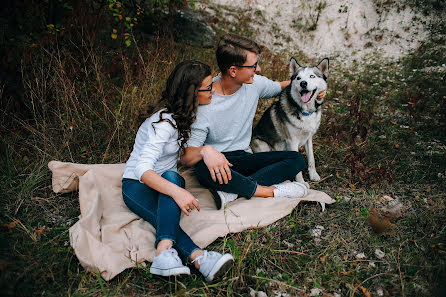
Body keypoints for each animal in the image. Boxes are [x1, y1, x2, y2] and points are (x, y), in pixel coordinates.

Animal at [251, 57, 328, 187]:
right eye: (298, 78)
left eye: (312, 76)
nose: (303, 83)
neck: (305, 111)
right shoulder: (292, 141)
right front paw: (301, 182)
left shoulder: (308, 138)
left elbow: (311, 158)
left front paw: (313, 175)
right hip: (261, 144)